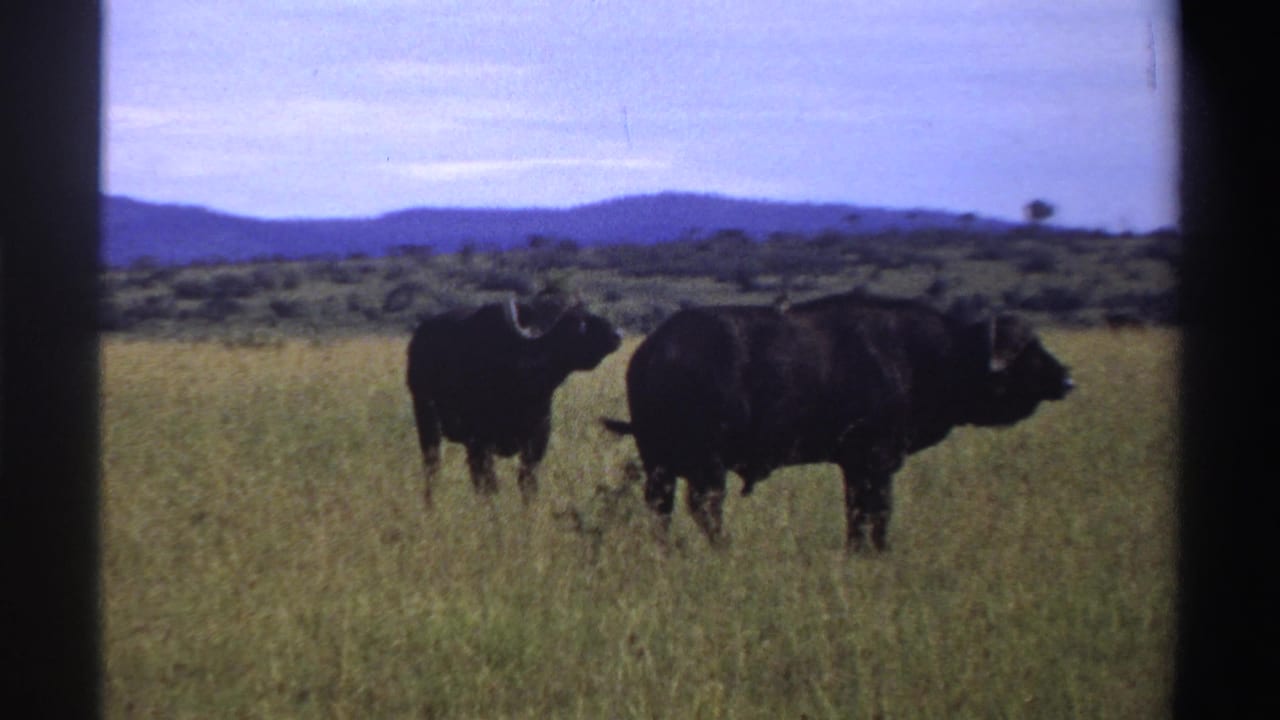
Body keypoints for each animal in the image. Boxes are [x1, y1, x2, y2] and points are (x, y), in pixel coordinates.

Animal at [408, 295, 622, 507]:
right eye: (579, 323)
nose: (617, 334)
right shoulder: (480, 444)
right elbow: (490, 487)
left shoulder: (536, 442)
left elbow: (528, 484)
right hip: (427, 423)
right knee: (433, 468)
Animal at [602, 291, 1073, 552]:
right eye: (1026, 351)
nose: (1067, 379)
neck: (926, 357)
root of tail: (654, 352)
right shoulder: (875, 462)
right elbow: (877, 513)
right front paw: (878, 552)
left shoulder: (854, 466)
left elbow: (855, 515)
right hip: (706, 465)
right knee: (706, 509)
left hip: (660, 465)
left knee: (662, 509)